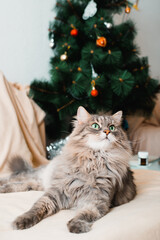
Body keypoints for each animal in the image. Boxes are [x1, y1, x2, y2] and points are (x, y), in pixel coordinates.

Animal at [0, 106, 136, 232]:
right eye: (95, 126)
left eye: (112, 127)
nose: (107, 131)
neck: (93, 162)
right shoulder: (56, 192)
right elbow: (37, 207)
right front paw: (22, 220)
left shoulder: (96, 201)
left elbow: (84, 215)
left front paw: (76, 226)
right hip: (39, 175)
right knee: (16, 176)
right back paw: (2, 184)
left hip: (40, 183)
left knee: (25, 183)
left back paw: (3, 189)